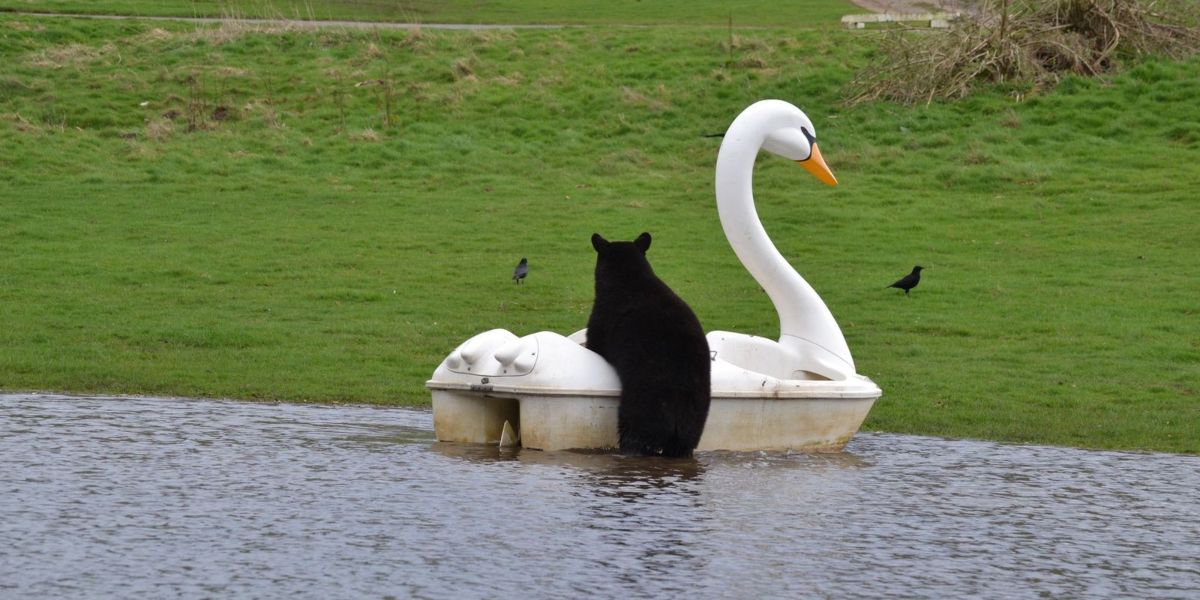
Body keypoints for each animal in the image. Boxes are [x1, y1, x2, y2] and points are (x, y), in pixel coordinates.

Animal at [588, 231, 710, 456]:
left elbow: (595, 343)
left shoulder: (602, 320)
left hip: (643, 410)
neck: (627, 278)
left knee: (634, 436)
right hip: (695, 423)